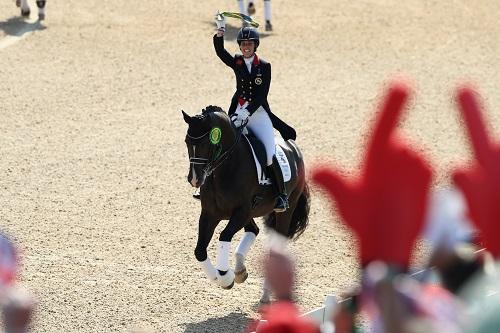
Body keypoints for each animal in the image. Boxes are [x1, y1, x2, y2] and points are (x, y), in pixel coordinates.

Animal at [182, 105, 310, 302]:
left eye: (206, 143)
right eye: (187, 141)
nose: (195, 179)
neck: (226, 169)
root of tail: (294, 148)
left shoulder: (242, 211)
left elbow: (224, 236)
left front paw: (225, 277)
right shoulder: (210, 214)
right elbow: (199, 251)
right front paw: (220, 277)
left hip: (284, 210)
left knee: (275, 249)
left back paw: (265, 294)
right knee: (253, 230)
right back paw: (240, 271)